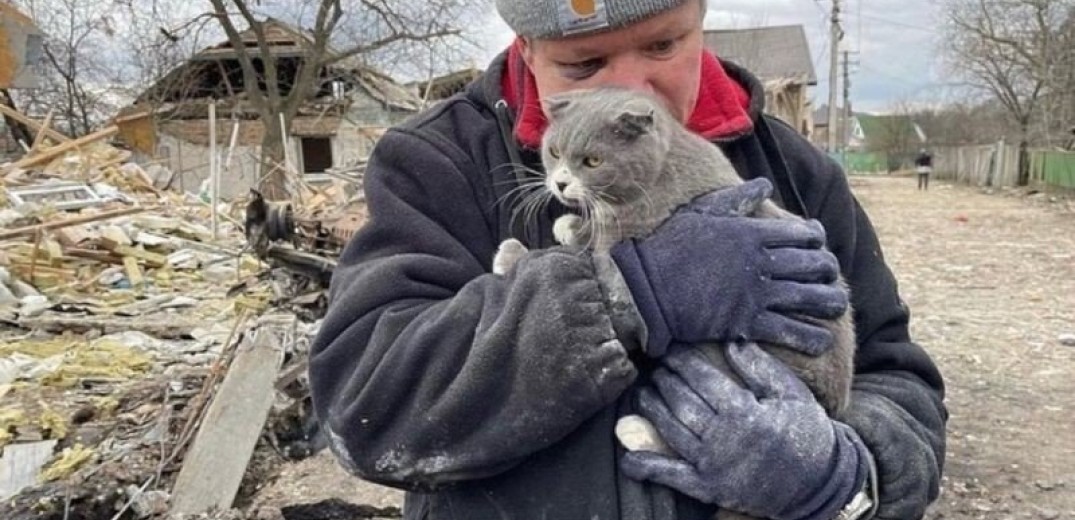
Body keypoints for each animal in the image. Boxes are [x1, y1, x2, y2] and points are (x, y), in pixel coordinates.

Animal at [492, 87, 855, 517]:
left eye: (593, 161)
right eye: (554, 151)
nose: (561, 183)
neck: (659, 172)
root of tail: (832, 402)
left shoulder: (631, 237)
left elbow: (595, 265)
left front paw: (514, 254)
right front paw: (569, 225)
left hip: (735, 353)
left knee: (695, 434)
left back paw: (640, 431)